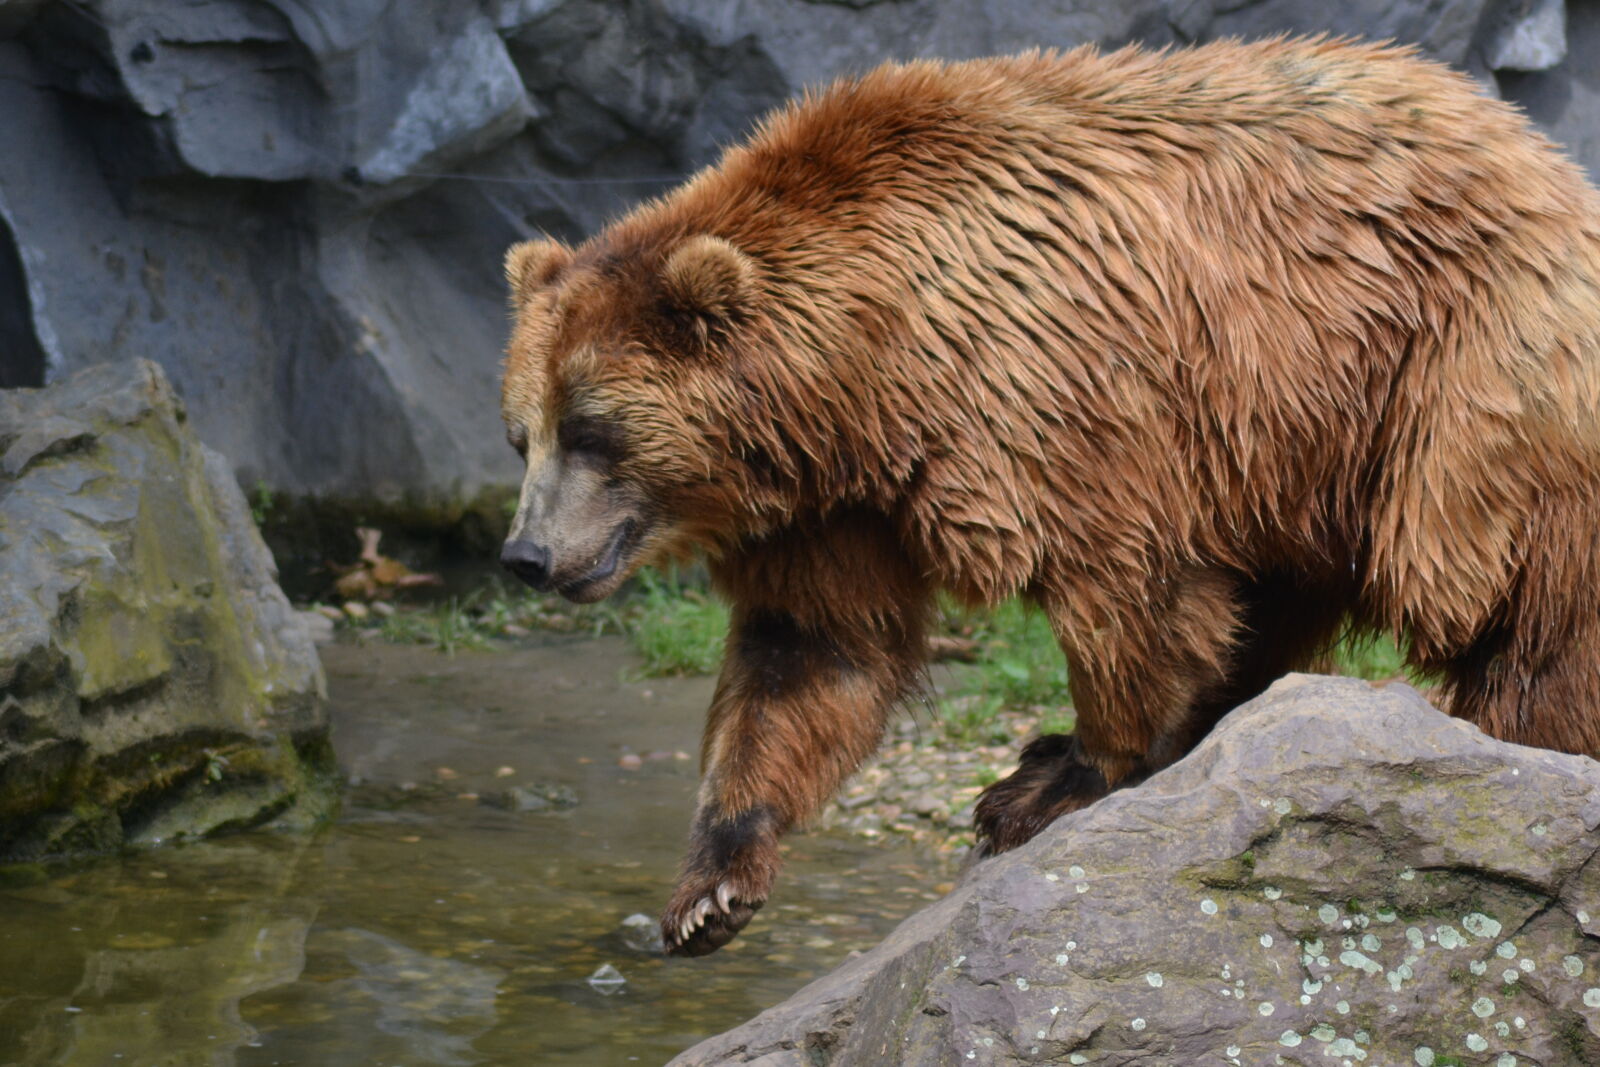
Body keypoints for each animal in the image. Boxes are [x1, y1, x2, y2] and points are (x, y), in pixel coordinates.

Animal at [496, 37, 1600, 957]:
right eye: (522, 432)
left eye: (593, 429)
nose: (525, 555)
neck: (862, 381)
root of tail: (1546, 158)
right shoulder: (831, 510)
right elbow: (811, 652)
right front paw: (712, 886)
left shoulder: (1058, 390)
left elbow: (1130, 590)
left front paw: (1051, 778)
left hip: (1455, 384)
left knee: (1518, 615)